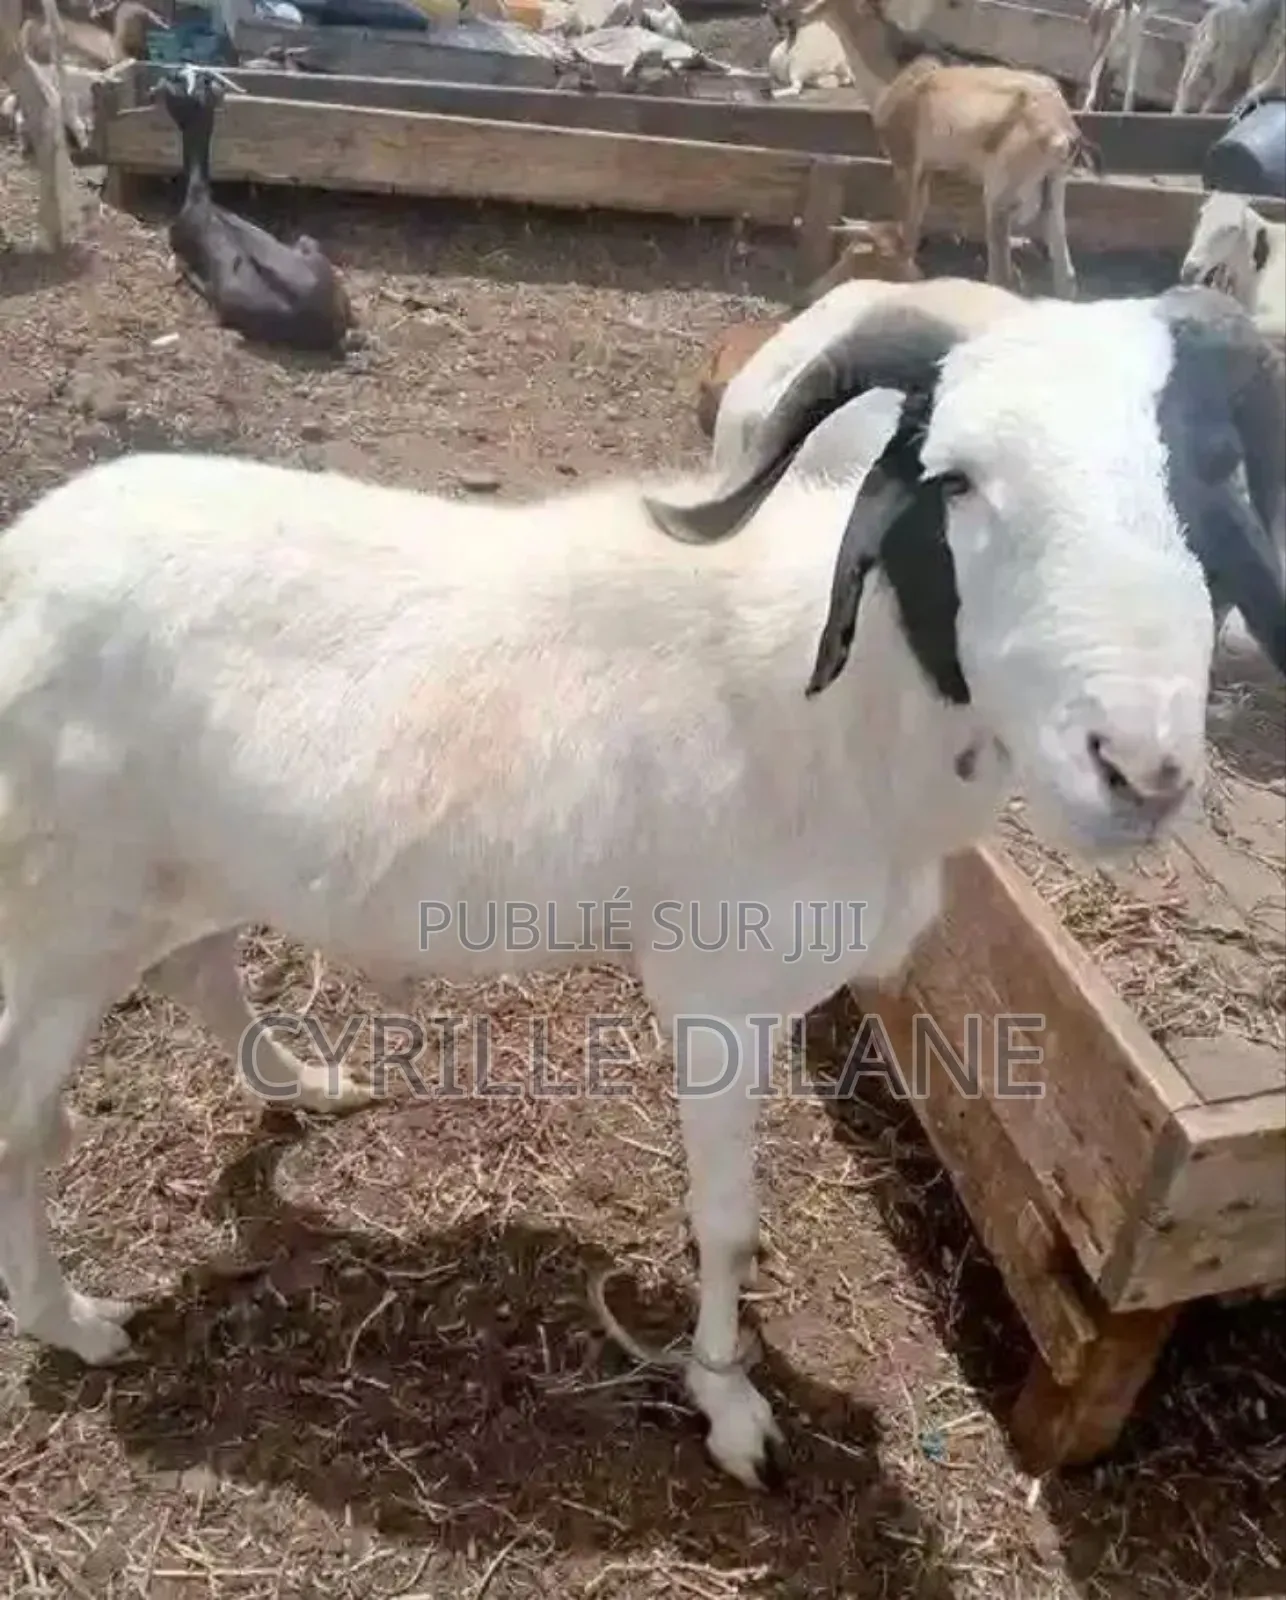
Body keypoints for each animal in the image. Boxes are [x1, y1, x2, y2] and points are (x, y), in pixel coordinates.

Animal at [0, 285, 1280, 1492]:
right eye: (953, 478)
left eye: (1213, 467)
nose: (1137, 768)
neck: (845, 702)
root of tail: (24, 556)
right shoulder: (715, 990)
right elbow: (724, 1221)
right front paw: (727, 1406)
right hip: (64, 912)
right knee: (27, 1118)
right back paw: (75, 1322)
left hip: (183, 865)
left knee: (198, 965)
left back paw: (308, 1088)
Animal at [871, 56, 1101, 298]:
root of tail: (1063, 127)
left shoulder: (908, 166)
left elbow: (909, 227)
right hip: (1053, 187)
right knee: (1063, 262)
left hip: (1000, 196)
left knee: (1002, 274)